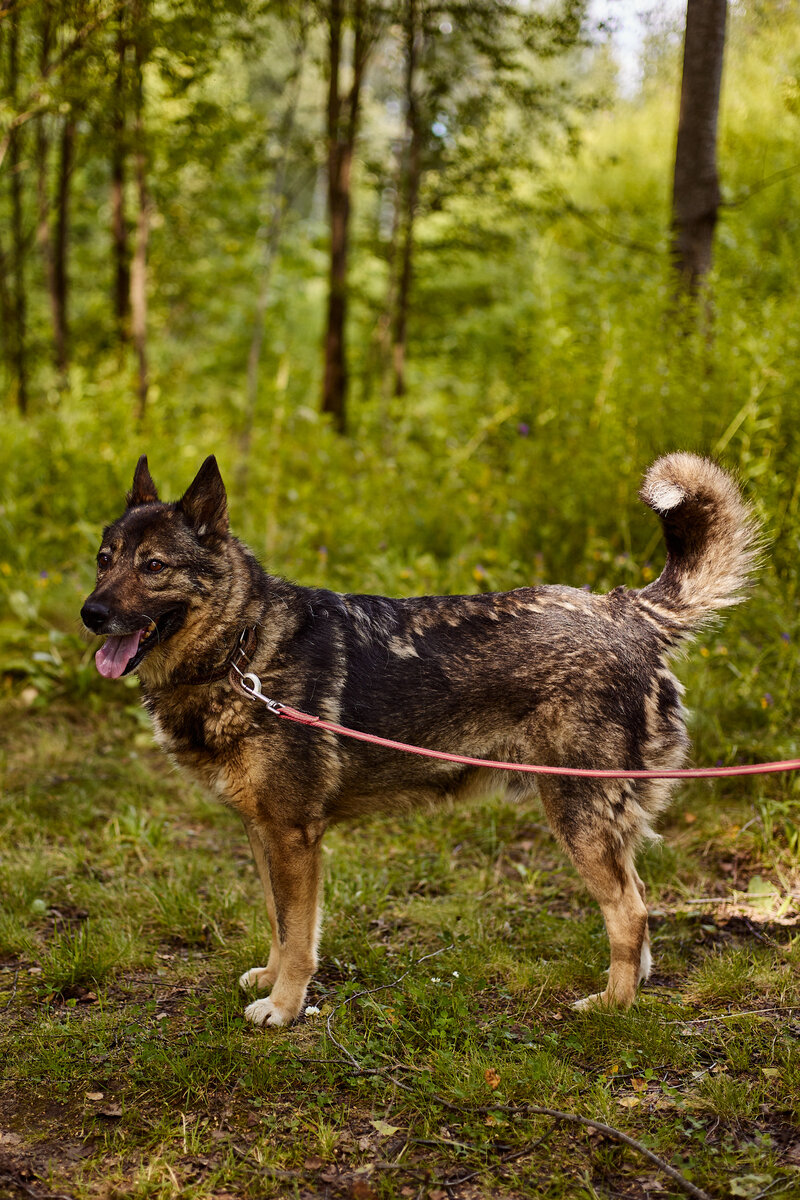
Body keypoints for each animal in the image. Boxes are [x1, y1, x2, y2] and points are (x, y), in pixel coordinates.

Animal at [81, 452, 757, 1026]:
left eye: (154, 566)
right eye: (104, 559)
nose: (90, 614)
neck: (243, 650)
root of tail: (623, 611)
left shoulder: (295, 838)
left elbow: (298, 938)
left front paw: (286, 1007)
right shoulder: (263, 832)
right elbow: (278, 923)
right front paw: (271, 983)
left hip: (577, 815)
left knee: (630, 912)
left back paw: (613, 1006)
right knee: (638, 903)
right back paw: (633, 985)